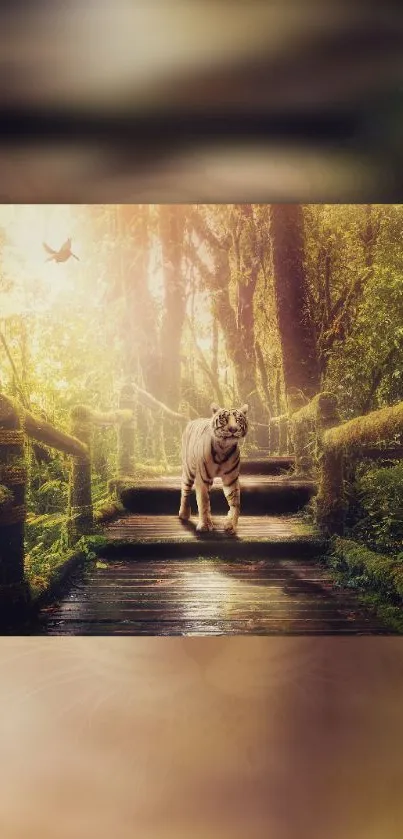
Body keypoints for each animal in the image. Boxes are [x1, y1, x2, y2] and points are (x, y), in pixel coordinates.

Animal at [180, 404, 249, 536]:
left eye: (238, 420)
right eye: (224, 419)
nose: (233, 429)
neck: (223, 448)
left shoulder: (231, 479)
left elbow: (235, 502)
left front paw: (231, 526)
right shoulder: (202, 479)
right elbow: (203, 502)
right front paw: (205, 525)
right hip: (188, 470)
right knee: (185, 491)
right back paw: (184, 514)